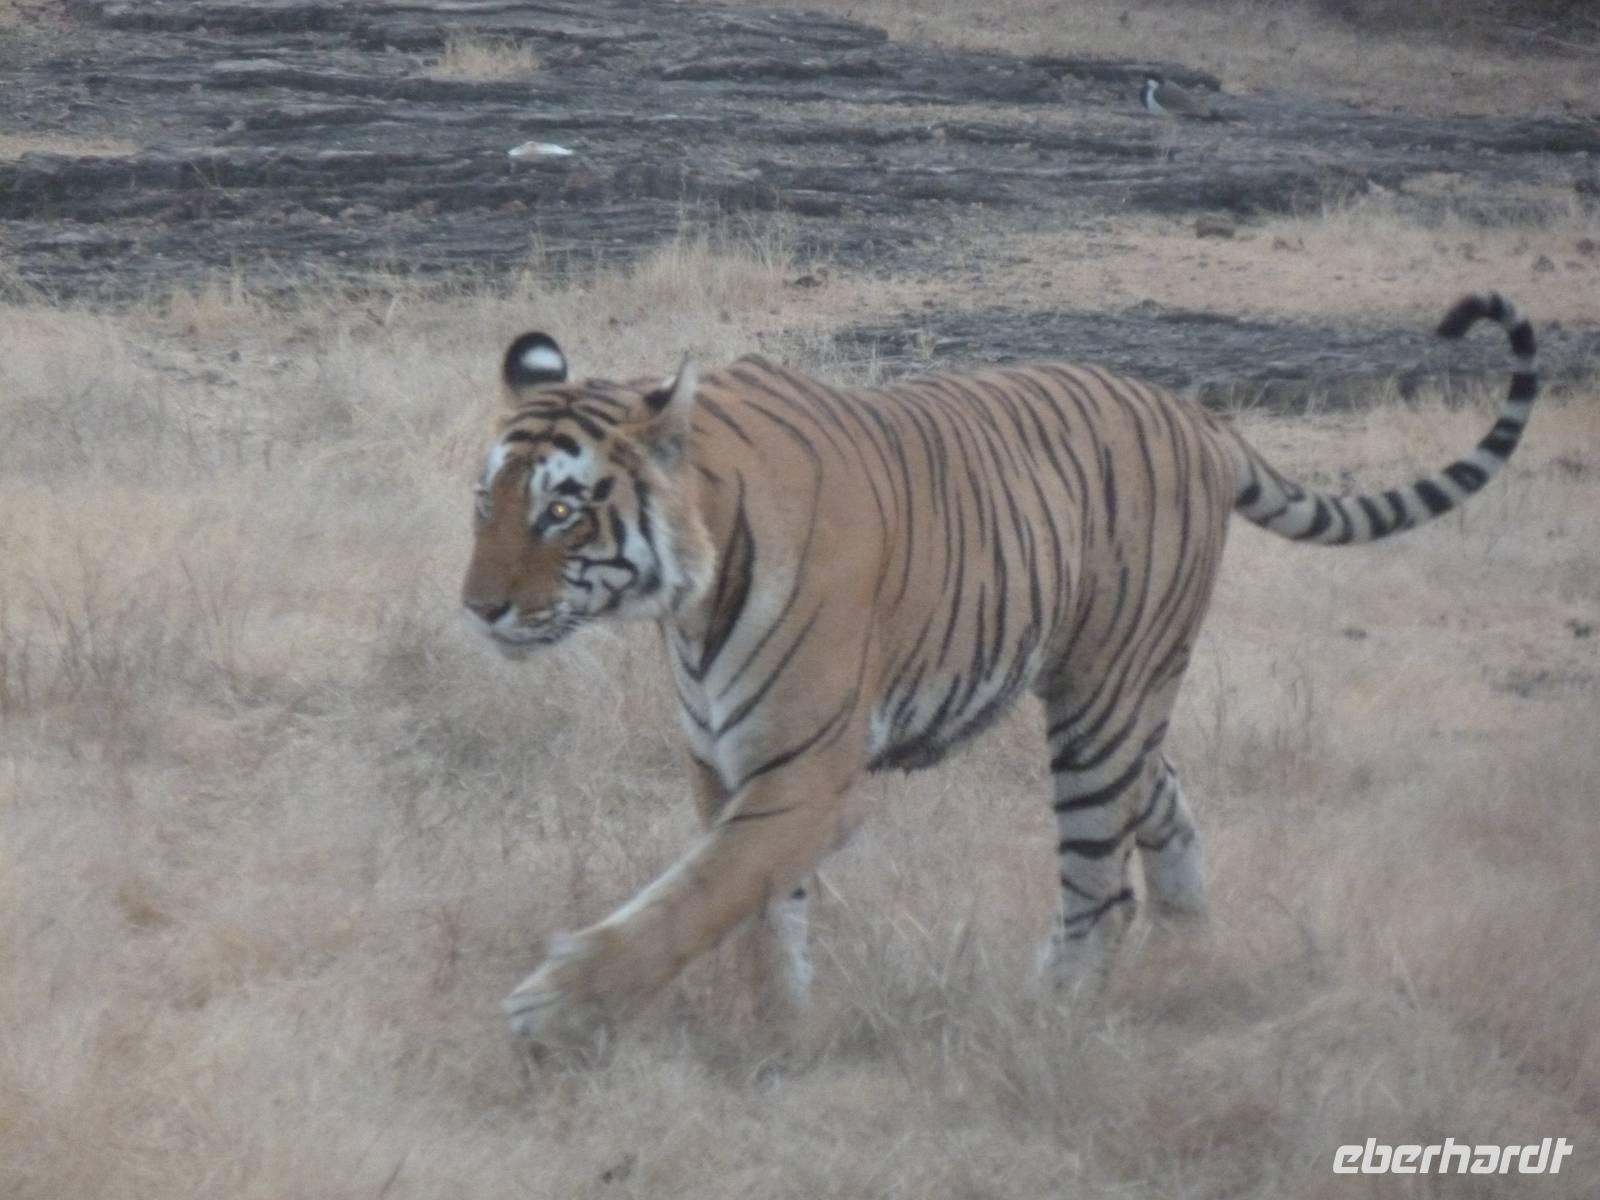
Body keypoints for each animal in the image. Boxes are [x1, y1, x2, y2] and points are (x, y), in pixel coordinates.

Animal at [460, 293, 1537, 1054]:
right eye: (486, 501)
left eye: (562, 511)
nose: (478, 608)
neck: (690, 596)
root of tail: (1193, 415)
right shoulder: (719, 765)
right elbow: (754, 907)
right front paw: (780, 1032)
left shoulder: (804, 777)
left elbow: (702, 893)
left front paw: (554, 1010)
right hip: (1118, 699)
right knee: (1168, 807)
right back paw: (1187, 963)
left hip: (1098, 709)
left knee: (1099, 882)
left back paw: (1053, 1013)